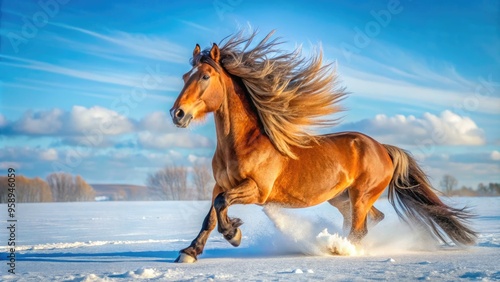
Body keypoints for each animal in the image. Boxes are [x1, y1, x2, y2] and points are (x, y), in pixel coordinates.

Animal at [169, 30, 476, 262]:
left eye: (205, 76)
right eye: (185, 76)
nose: (177, 114)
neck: (244, 144)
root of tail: (382, 147)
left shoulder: (257, 190)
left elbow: (221, 205)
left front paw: (234, 234)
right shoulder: (220, 184)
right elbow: (211, 215)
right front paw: (190, 252)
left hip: (361, 195)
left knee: (360, 228)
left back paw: (340, 248)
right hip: (341, 198)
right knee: (371, 218)